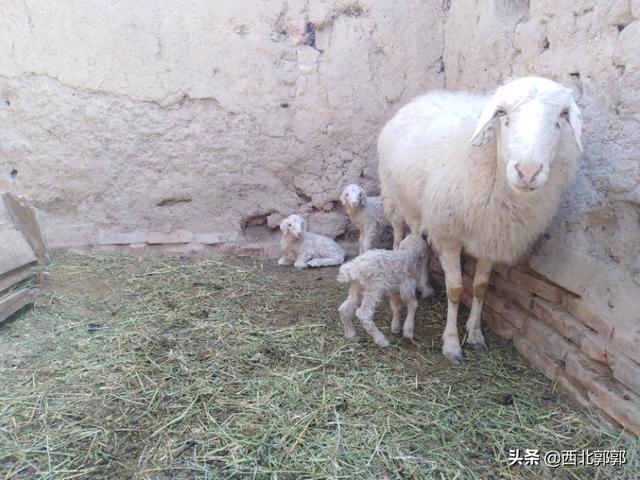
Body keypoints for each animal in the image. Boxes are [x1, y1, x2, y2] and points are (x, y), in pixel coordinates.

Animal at [378, 77, 584, 364]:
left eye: (561, 117)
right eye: (503, 114)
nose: (528, 172)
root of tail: (421, 97)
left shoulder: (491, 238)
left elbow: (480, 288)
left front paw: (475, 335)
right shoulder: (449, 238)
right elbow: (455, 290)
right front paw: (452, 344)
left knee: (422, 246)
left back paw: (426, 287)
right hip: (394, 200)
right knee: (398, 239)